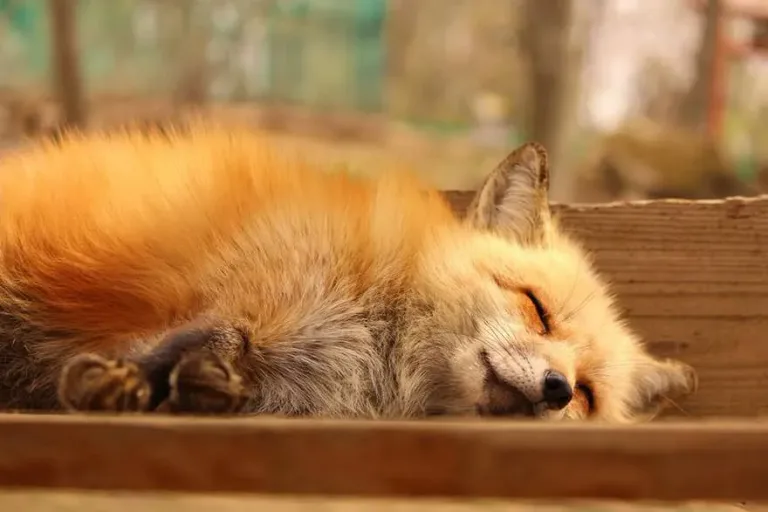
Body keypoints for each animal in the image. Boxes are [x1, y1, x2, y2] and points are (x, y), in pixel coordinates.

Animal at [0, 123, 697, 421]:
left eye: (585, 395)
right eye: (536, 307)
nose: (554, 388)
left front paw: (198, 390)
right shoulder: (258, 280)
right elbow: (205, 334)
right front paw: (116, 381)